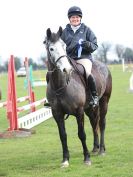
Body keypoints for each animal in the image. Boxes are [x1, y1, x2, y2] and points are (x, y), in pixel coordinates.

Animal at [43, 26, 112, 167]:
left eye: (64, 46)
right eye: (51, 48)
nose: (66, 69)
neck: (60, 85)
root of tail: (104, 66)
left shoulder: (79, 112)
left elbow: (82, 134)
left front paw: (87, 158)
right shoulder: (57, 114)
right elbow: (63, 135)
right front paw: (65, 160)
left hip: (104, 102)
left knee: (101, 123)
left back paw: (101, 150)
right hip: (90, 108)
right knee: (94, 123)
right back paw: (95, 148)